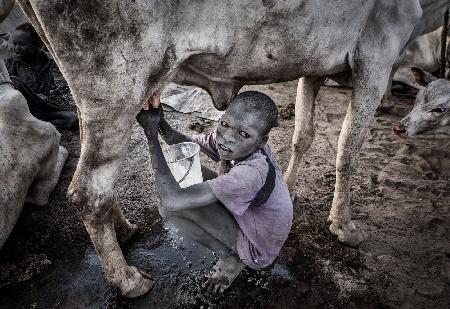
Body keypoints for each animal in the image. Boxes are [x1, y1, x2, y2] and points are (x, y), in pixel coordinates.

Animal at [12, 0, 448, 296]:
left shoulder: (316, 66)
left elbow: (303, 135)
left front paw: (289, 185)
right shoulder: (376, 56)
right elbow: (348, 150)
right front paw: (344, 224)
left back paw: (126, 229)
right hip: (115, 84)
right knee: (89, 191)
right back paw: (128, 279)